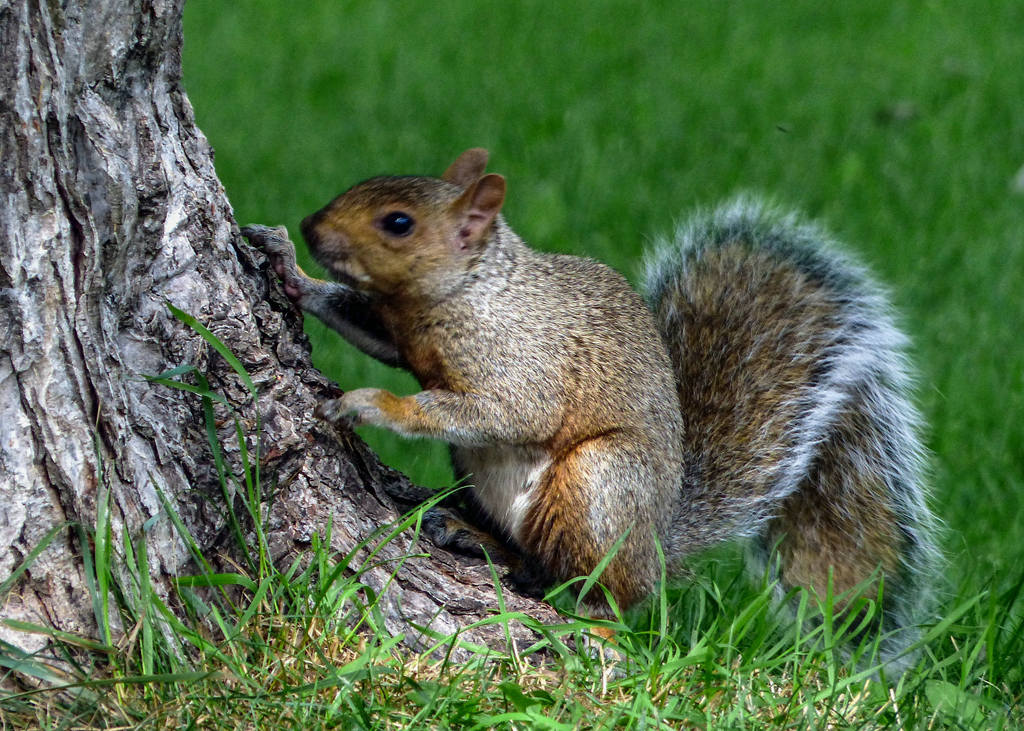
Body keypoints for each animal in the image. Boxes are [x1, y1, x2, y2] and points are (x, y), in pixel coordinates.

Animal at [237, 145, 937, 663]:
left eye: (398, 223)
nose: (311, 227)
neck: (467, 292)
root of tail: (658, 544)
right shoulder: (396, 330)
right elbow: (362, 323)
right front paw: (288, 268)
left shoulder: (522, 364)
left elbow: (502, 412)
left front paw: (372, 404)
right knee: (537, 568)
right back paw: (476, 537)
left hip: (599, 484)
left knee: (604, 591)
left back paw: (592, 620)